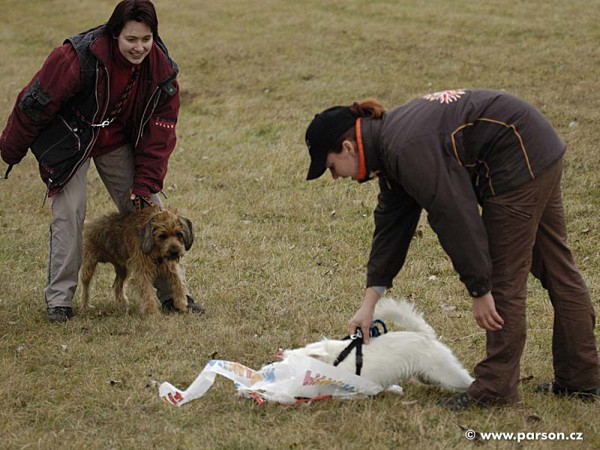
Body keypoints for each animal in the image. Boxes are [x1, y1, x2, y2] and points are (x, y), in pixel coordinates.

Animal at [282, 300, 474, 392]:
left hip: (447, 373)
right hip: (426, 375)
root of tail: (425, 335)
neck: (333, 358)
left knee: (467, 381)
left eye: (293, 365)